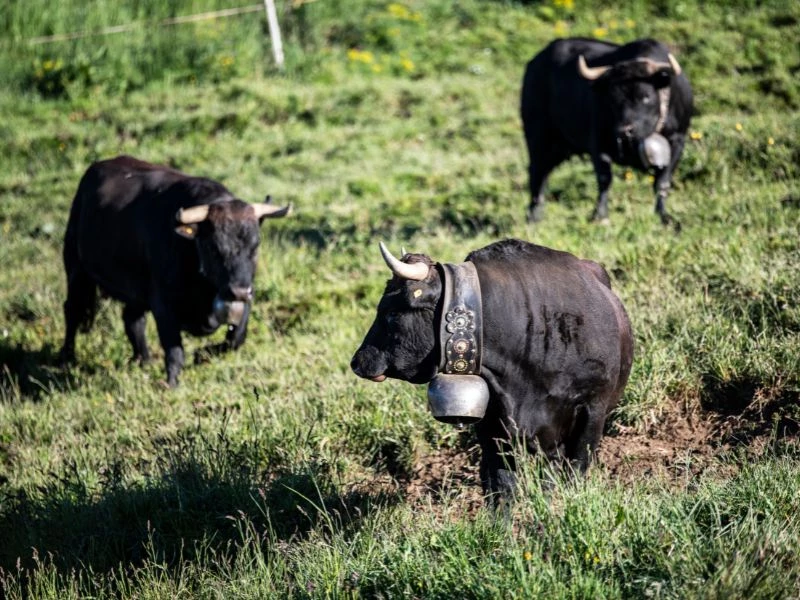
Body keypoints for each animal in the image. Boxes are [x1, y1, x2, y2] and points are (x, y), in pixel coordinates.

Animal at [59, 155, 291, 387]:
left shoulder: (246, 297)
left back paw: (143, 360)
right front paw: (172, 384)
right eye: (213, 247)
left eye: (255, 245)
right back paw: (67, 357)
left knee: (132, 320)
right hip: (76, 270)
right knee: (73, 310)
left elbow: (236, 338)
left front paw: (201, 355)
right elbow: (174, 351)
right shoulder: (162, 305)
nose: (239, 291)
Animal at [351, 239, 633, 501]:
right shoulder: (493, 425)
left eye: (391, 311)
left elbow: (574, 472)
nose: (357, 362)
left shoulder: (592, 412)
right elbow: (501, 485)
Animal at [521, 37, 693, 228]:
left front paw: (664, 215)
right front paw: (600, 215)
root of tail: (534, 63)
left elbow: (662, 182)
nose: (625, 131)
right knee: (537, 174)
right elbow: (604, 179)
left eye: (646, 96)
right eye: (613, 98)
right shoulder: (598, 143)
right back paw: (533, 216)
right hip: (538, 137)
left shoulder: (678, 140)